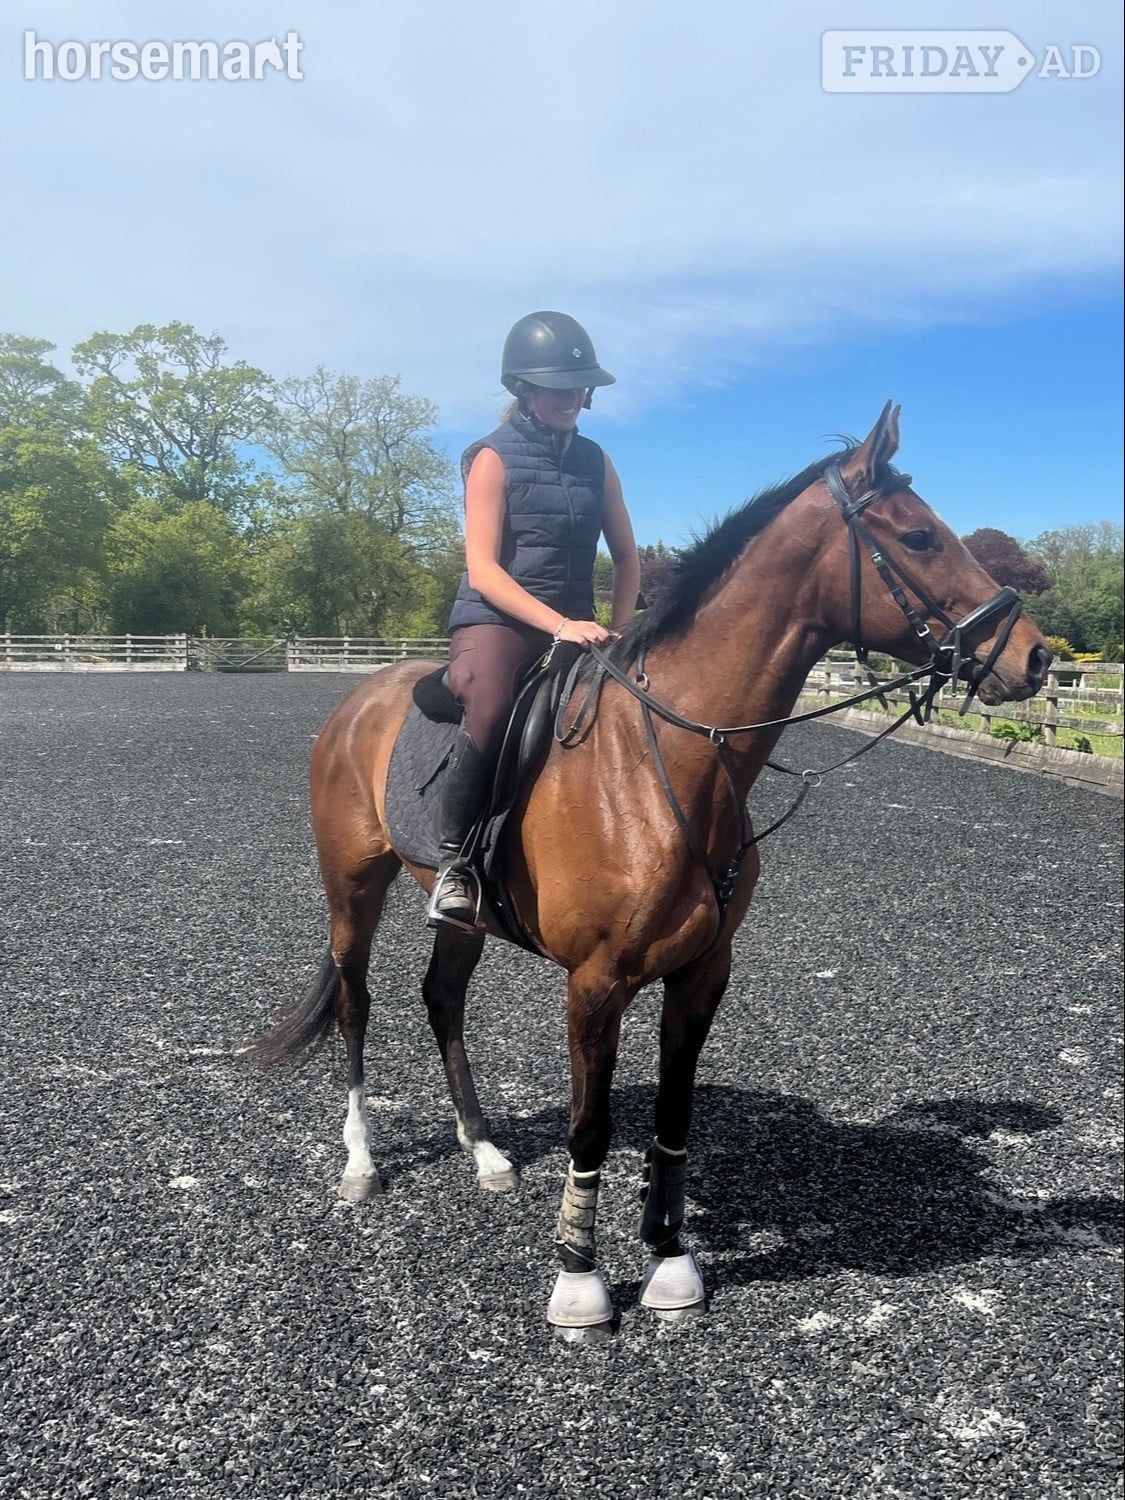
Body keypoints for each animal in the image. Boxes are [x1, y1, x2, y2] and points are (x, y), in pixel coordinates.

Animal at [246, 403, 1051, 1340]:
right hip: (353, 886)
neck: (667, 758)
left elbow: (672, 1115)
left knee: (441, 999)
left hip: (461, 917)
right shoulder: (596, 983)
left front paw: (668, 1256)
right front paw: (578, 1278)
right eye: (919, 536)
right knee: (355, 1002)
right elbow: (591, 1129)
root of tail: (358, 698)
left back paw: (483, 1151)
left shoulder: (702, 972)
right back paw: (361, 1163)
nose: (1034, 658)